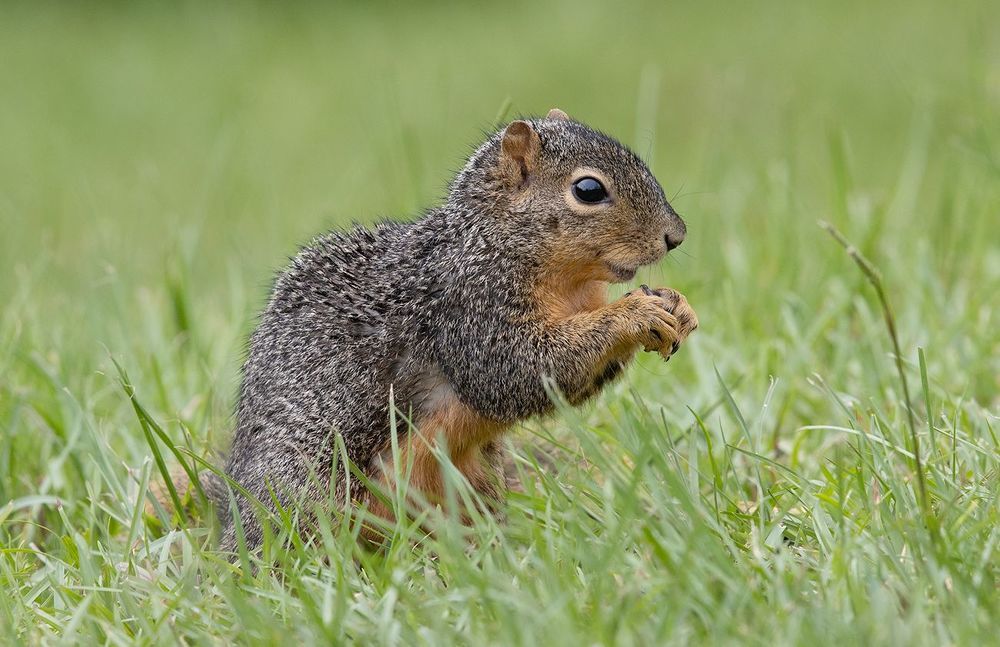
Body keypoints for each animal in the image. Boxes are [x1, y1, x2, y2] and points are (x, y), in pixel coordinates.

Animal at [211, 108, 698, 552]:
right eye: (589, 190)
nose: (676, 235)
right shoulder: (469, 310)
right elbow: (517, 370)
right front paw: (633, 313)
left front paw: (678, 305)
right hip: (304, 489)